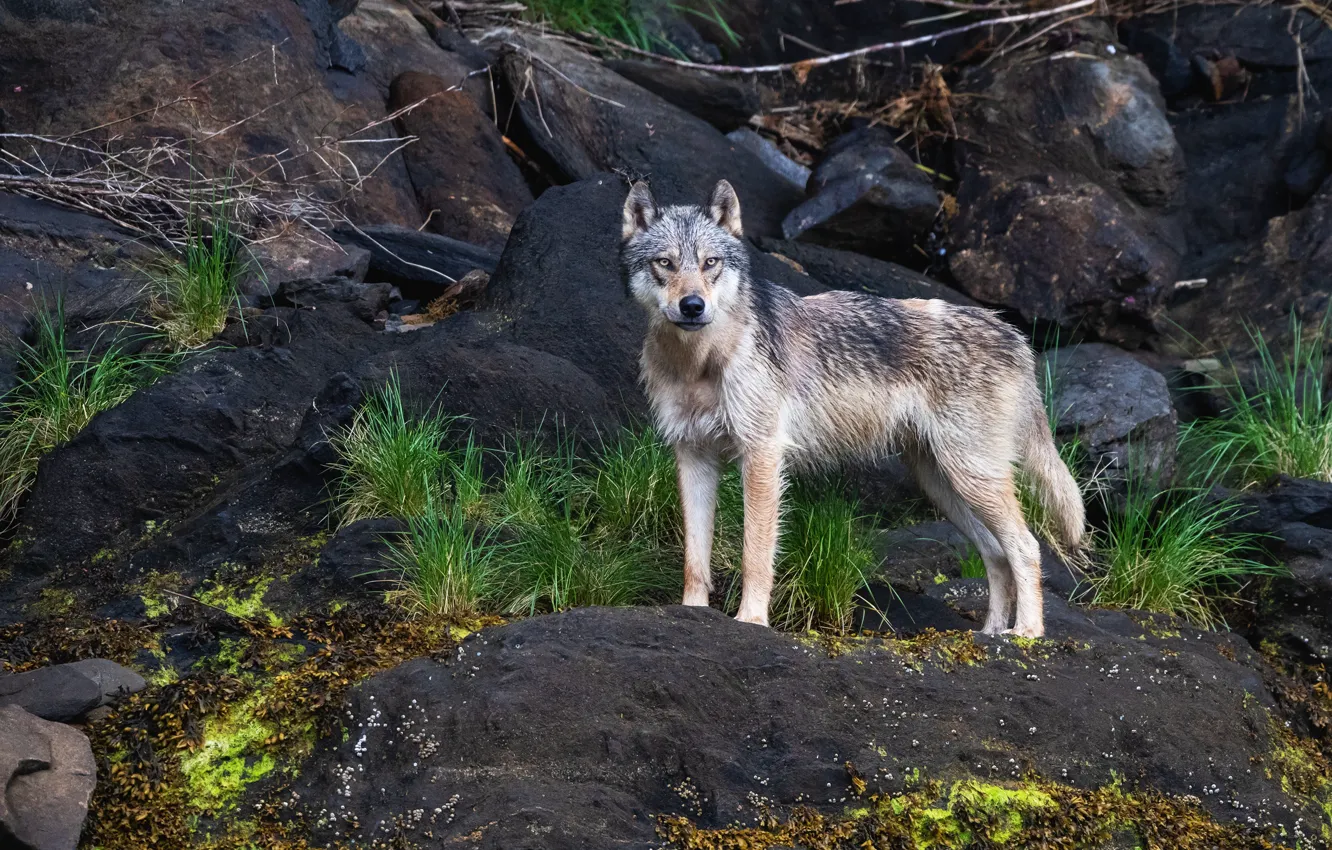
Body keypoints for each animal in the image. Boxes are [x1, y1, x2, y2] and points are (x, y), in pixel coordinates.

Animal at [620, 179, 1085, 637]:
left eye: (710, 262)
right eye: (665, 263)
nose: (692, 306)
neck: (700, 362)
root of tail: (1012, 334)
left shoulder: (762, 455)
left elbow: (756, 555)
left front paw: (751, 622)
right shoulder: (693, 455)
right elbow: (694, 559)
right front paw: (692, 613)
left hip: (970, 476)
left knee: (1026, 546)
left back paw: (1027, 634)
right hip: (945, 485)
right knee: (996, 553)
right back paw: (990, 634)